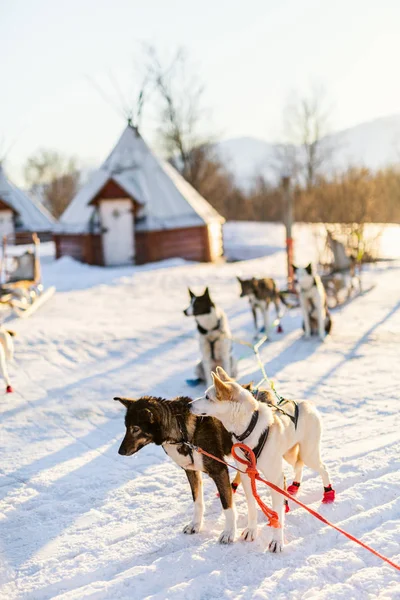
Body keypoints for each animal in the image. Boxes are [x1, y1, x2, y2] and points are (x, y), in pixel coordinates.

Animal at [191, 368, 334, 556]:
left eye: (208, 397)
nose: (189, 404)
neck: (248, 429)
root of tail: (307, 404)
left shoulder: (274, 478)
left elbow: (278, 513)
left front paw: (277, 541)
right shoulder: (247, 475)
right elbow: (252, 506)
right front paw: (252, 530)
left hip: (309, 454)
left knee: (322, 468)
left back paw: (328, 492)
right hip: (289, 454)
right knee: (298, 465)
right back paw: (295, 486)